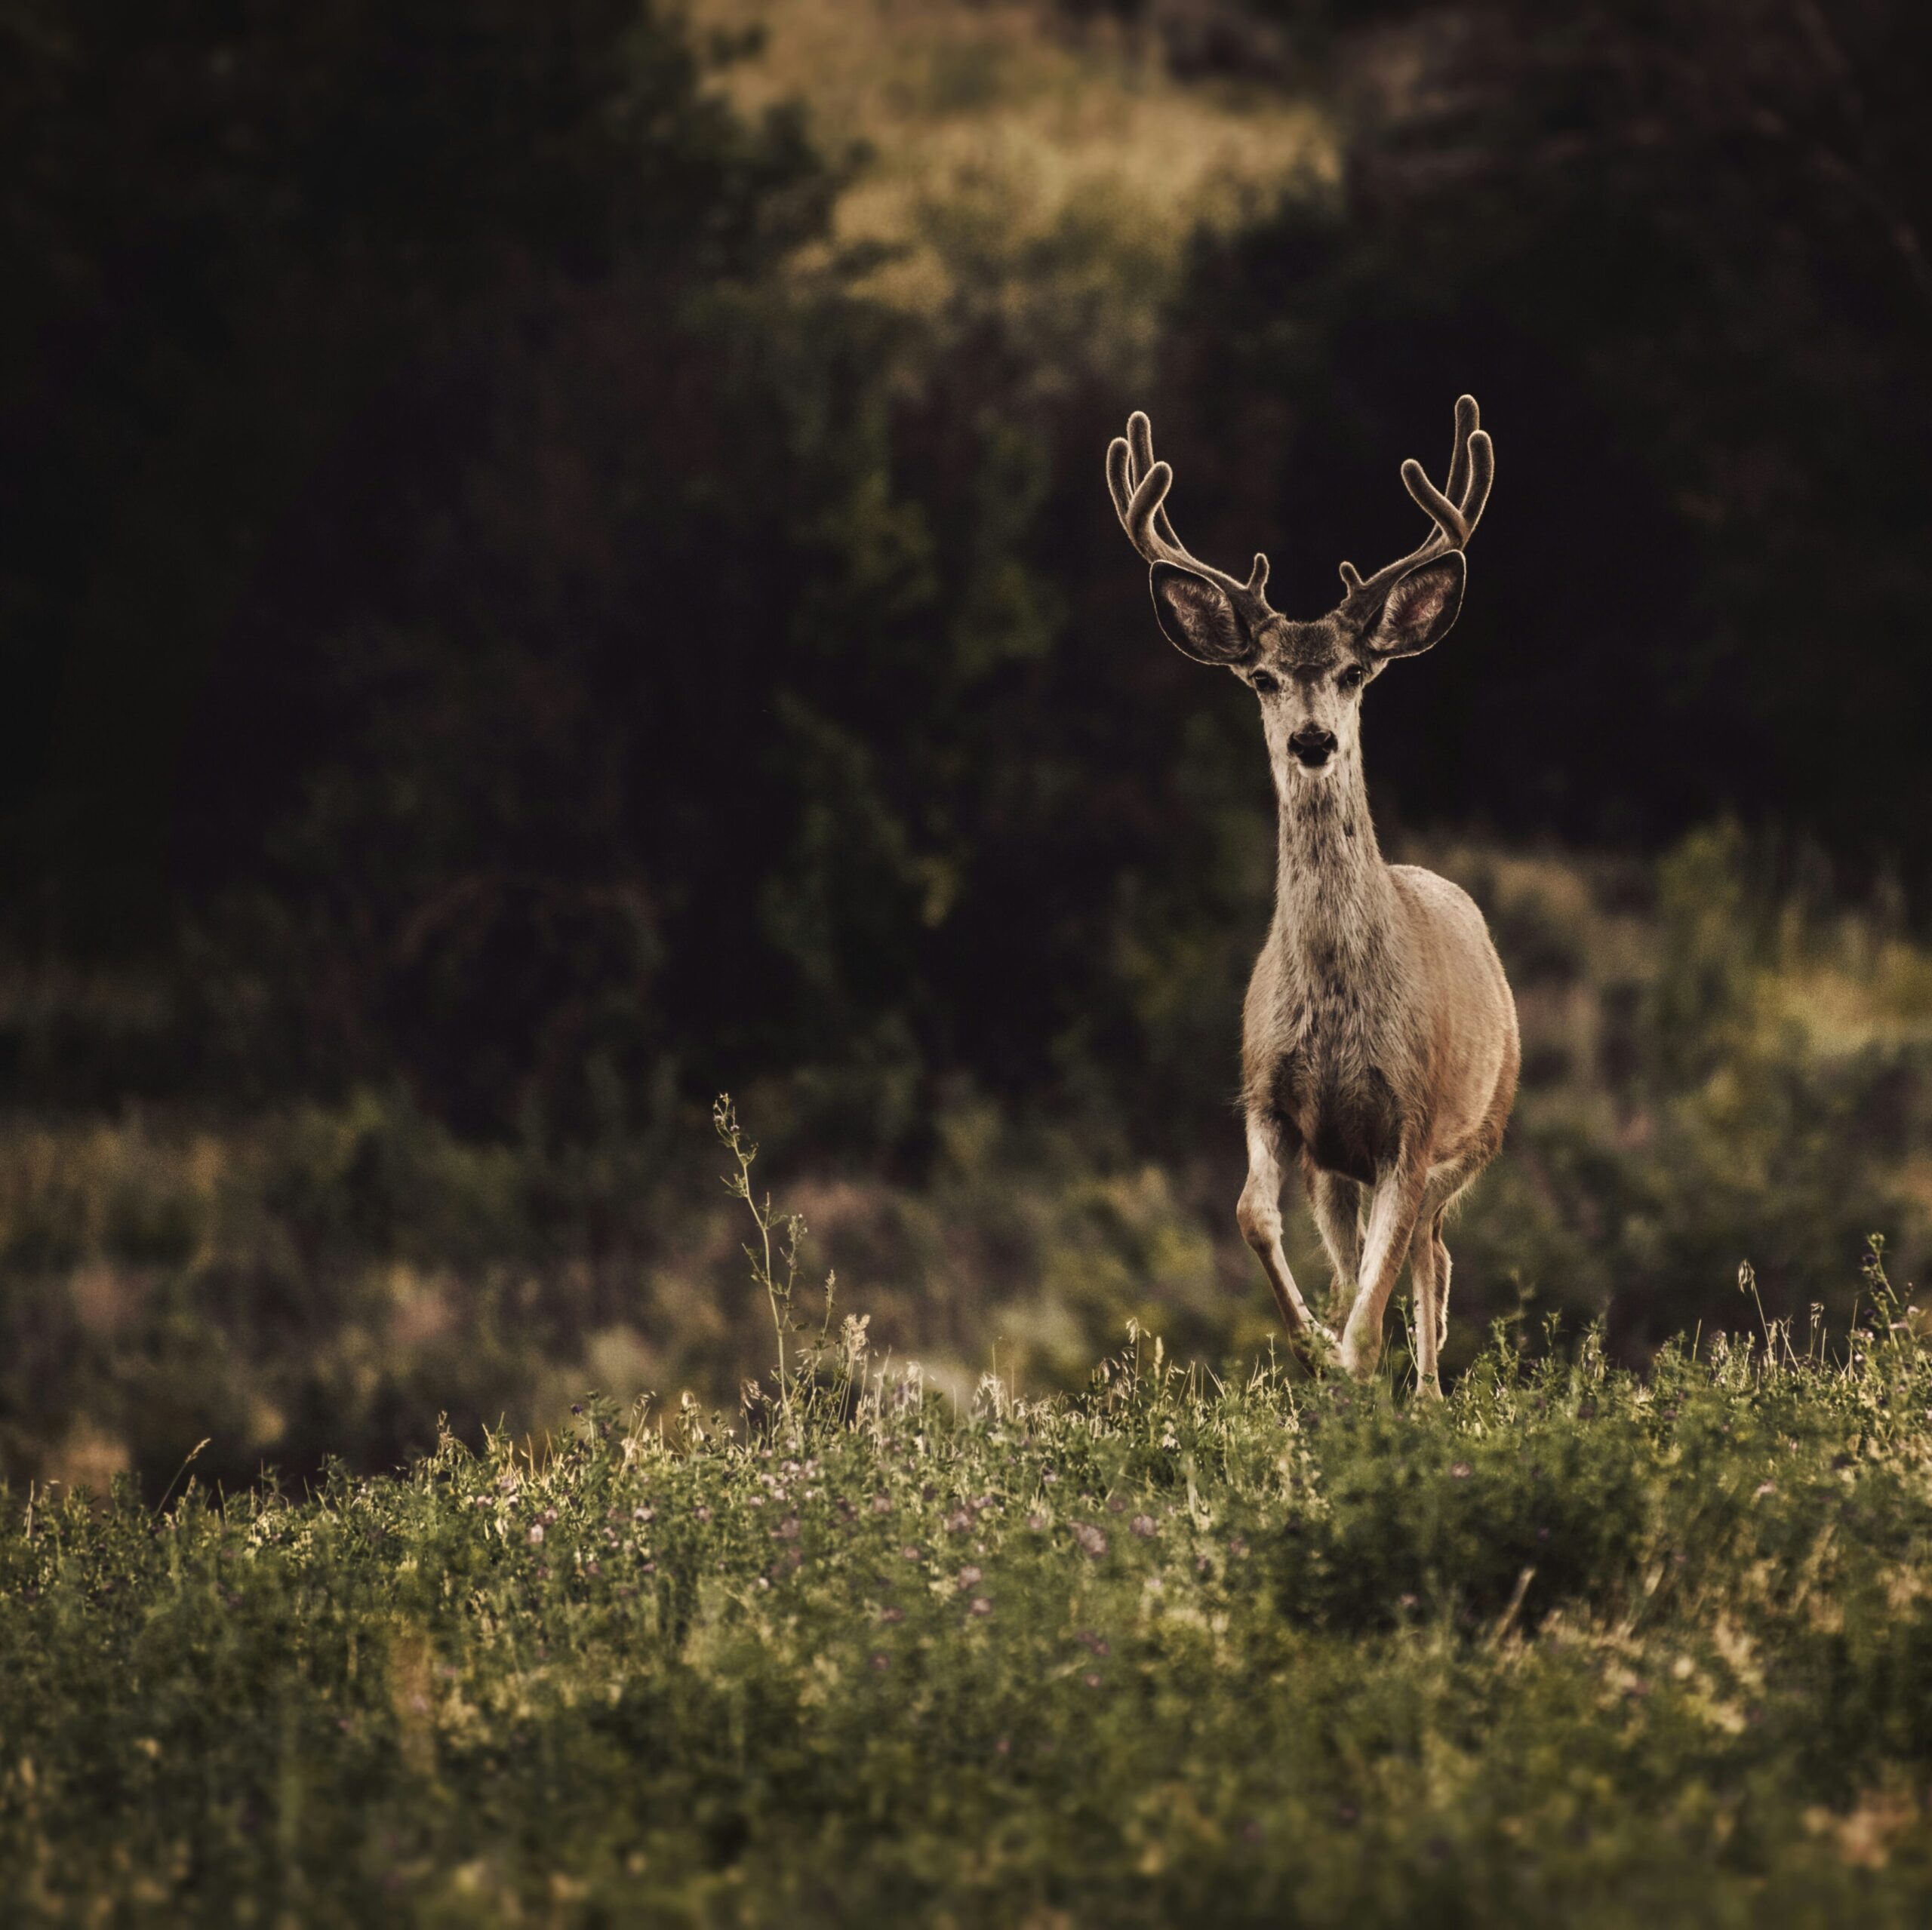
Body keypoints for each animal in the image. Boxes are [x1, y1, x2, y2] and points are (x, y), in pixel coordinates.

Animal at [1112, 395, 1515, 1391]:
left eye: (1353, 672)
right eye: (1261, 676)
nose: (1311, 740)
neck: (1336, 1003)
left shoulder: (1413, 1115)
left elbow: (1380, 1290)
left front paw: (1352, 1362)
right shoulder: (1269, 1090)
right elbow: (1252, 1215)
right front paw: (1311, 1348)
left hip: (1480, 1126)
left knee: (1428, 1252)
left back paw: (1427, 1387)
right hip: (1341, 1167)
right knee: (1385, 1249)